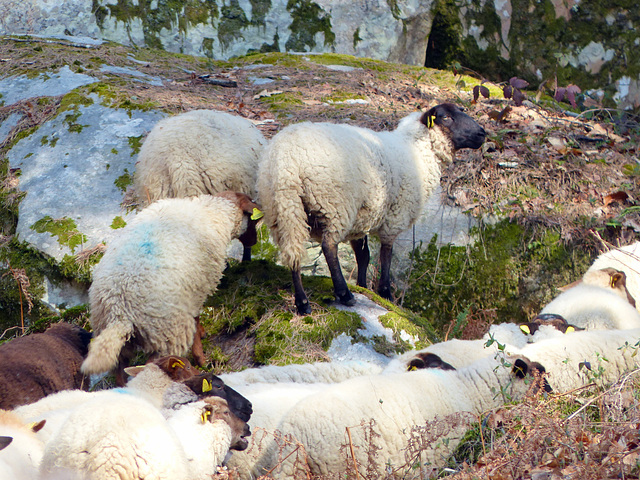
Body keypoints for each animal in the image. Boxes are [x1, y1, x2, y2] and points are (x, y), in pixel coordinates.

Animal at [82, 191, 260, 382]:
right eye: (253, 220)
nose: (254, 242)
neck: (213, 212)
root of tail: (119, 310)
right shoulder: (197, 287)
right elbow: (196, 320)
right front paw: (201, 357)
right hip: (167, 332)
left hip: (116, 336)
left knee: (120, 370)